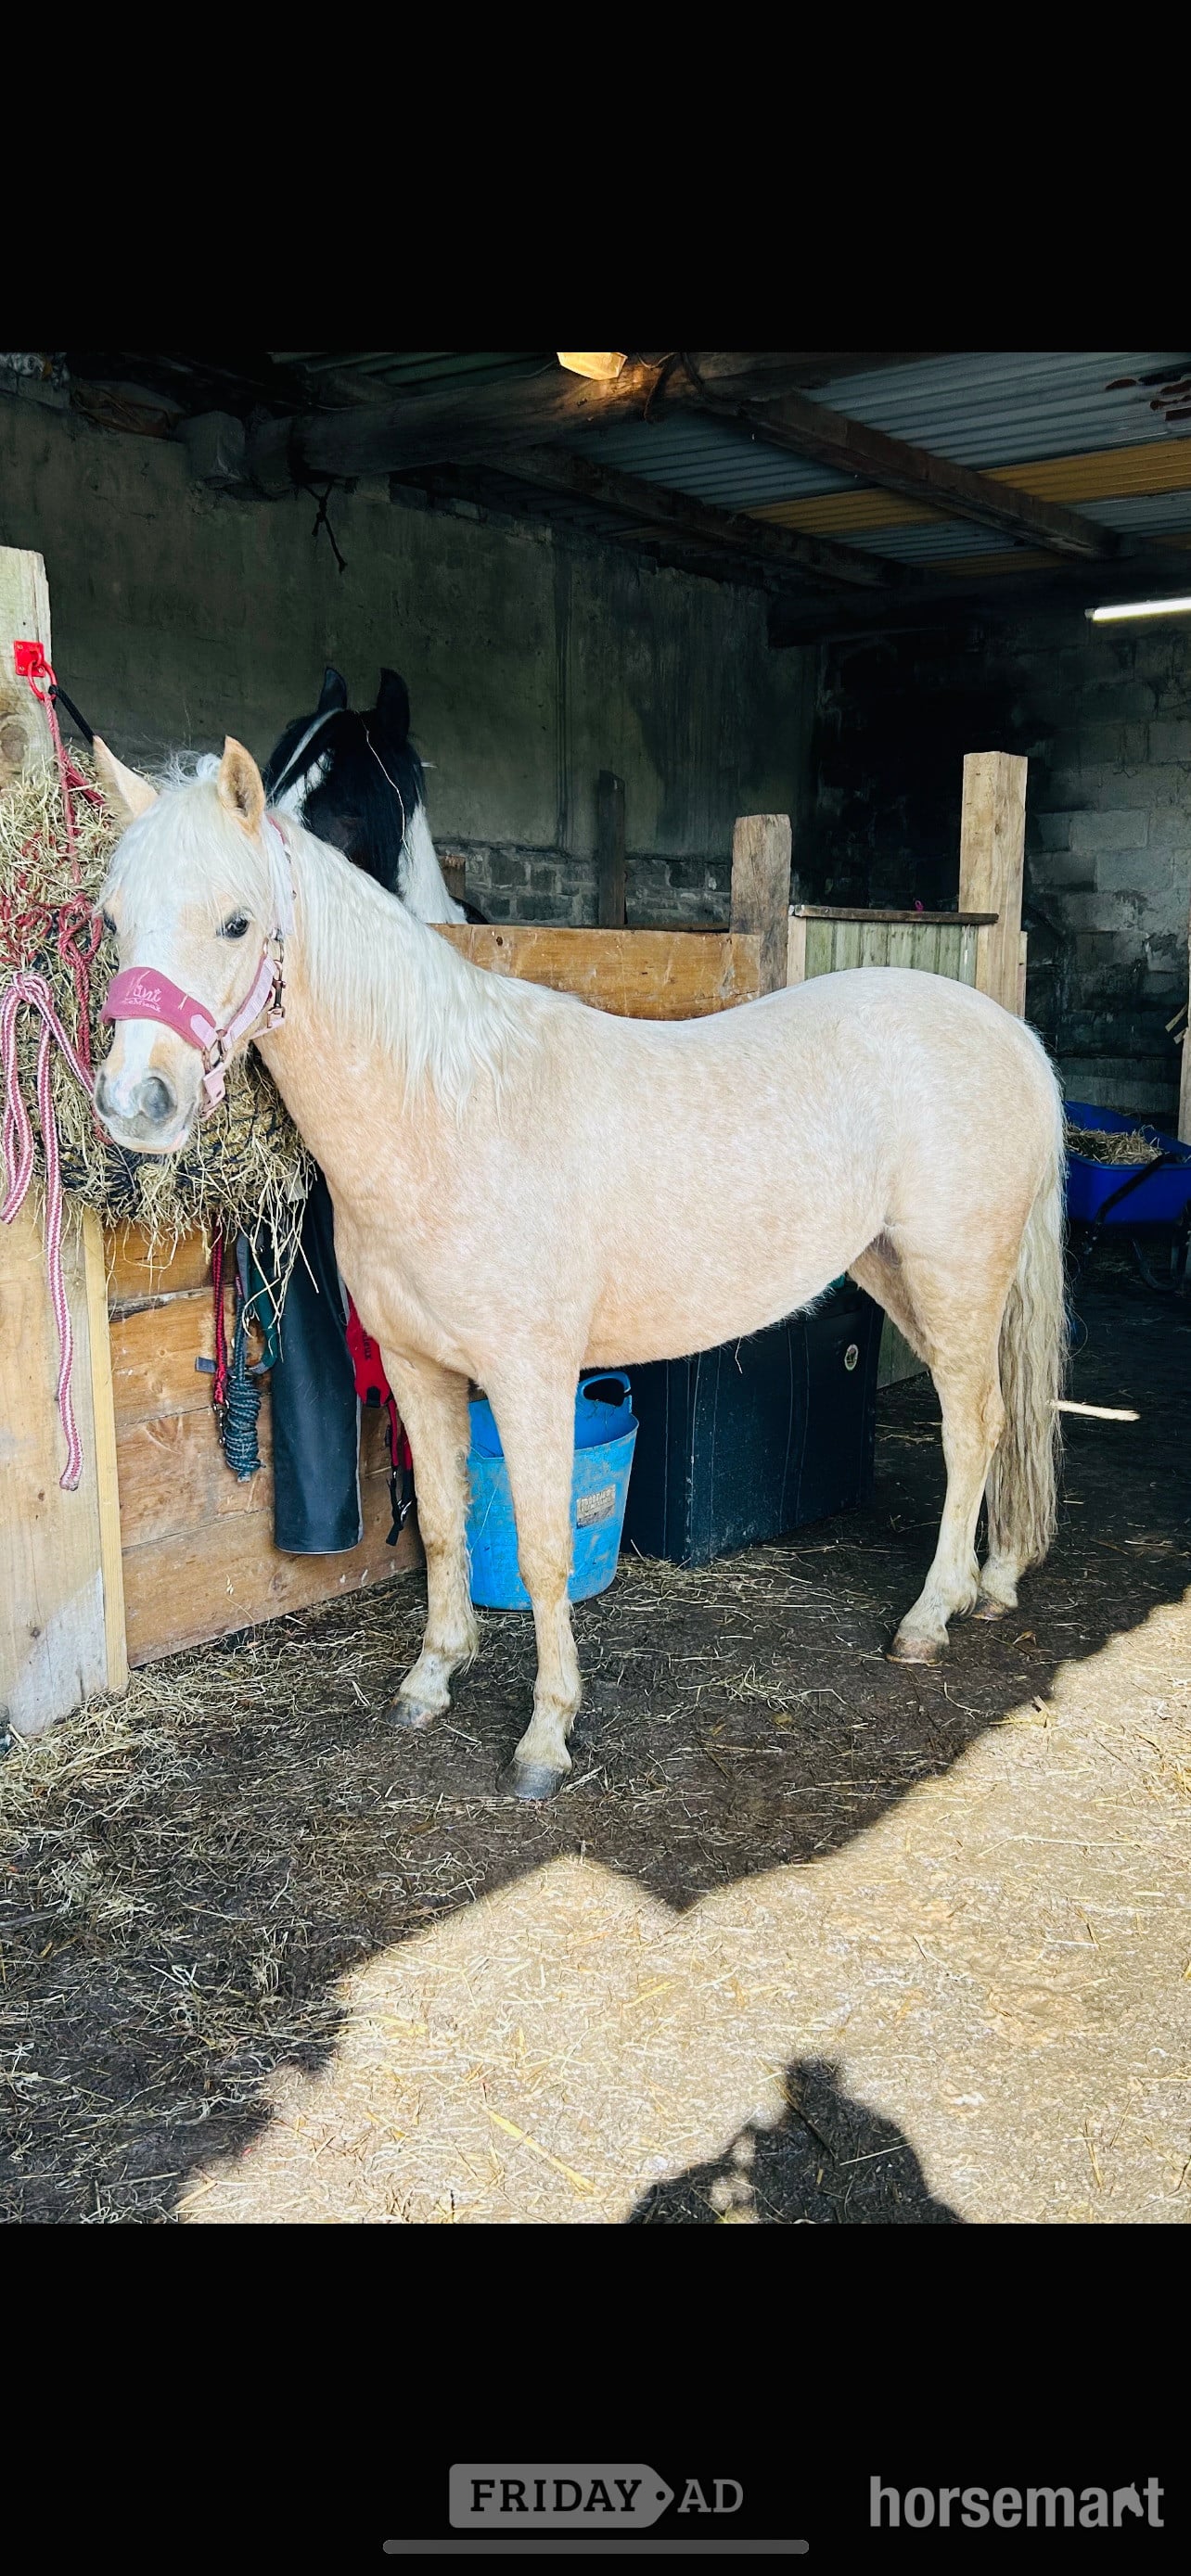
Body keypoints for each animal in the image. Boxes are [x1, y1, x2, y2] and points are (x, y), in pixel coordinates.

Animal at [90, 736, 1068, 1802]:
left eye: (236, 922)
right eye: (111, 920)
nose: (136, 1103)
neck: (449, 1115)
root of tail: (1007, 1032)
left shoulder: (531, 1378)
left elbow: (543, 1547)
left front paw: (545, 1736)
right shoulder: (415, 1368)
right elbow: (445, 1525)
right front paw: (431, 1680)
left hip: (955, 1277)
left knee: (975, 1427)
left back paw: (930, 1617)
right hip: (892, 1269)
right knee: (990, 1424)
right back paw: (989, 1584)